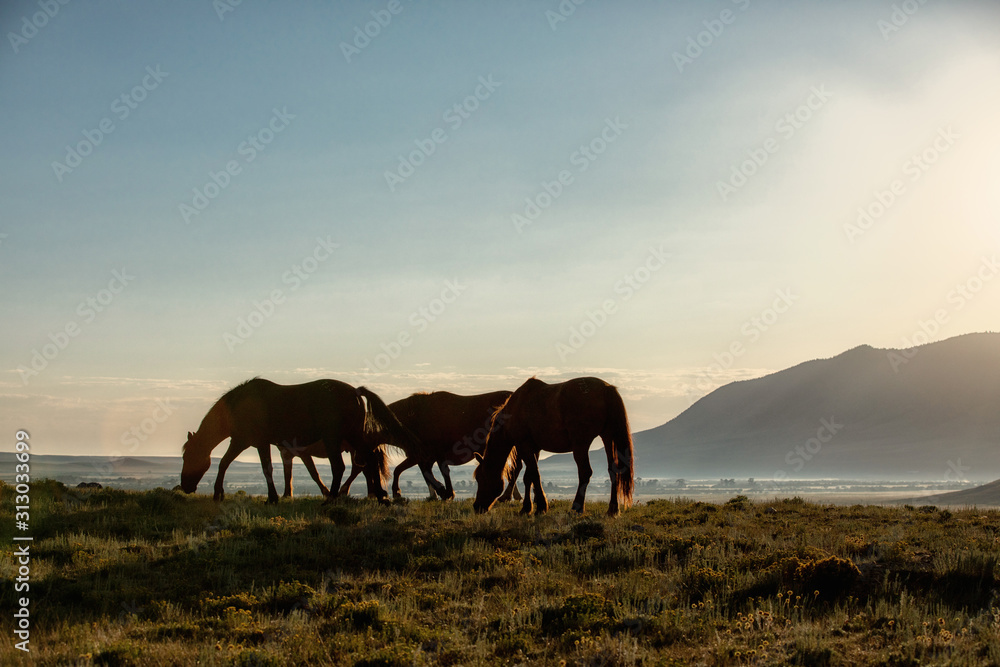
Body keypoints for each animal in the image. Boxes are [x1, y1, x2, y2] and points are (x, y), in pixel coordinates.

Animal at [183, 378, 418, 504]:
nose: (185, 486)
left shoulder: (246, 441)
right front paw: (276, 497)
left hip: (335, 439)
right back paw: (380, 497)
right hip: (354, 438)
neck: (239, 405)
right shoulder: (264, 444)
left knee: (341, 467)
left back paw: (333, 499)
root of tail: (355, 392)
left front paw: (218, 493)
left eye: (187, 456)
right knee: (367, 462)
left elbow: (231, 464)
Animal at [470, 376, 632, 516]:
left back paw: (577, 507)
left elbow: (534, 474)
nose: (477, 507)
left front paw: (540, 506)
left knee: (585, 472)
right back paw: (613, 509)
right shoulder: (534, 449)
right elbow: (529, 477)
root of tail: (606, 389)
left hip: (581, 444)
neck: (514, 410)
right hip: (608, 437)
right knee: (613, 470)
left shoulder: (524, 446)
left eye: (481, 478)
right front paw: (527, 508)